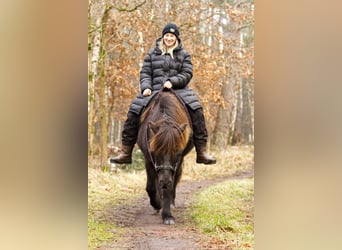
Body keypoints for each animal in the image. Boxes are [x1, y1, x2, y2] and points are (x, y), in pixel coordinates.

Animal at [137, 89, 194, 225]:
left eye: (177, 153)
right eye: (155, 152)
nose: (164, 180)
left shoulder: (177, 162)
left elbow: (169, 186)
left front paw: (167, 215)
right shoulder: (148, 159)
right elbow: (151, 186)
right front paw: (157, 204)